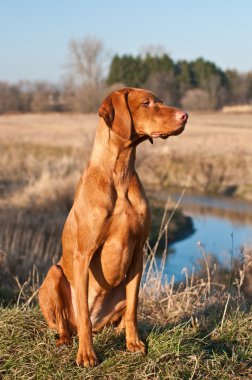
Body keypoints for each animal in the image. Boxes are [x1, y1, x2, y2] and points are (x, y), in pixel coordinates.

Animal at [38, 87, 188, 366]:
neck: (120, 172)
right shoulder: (83, 255)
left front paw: (133, 343)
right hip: (54, 275)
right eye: (146, 103)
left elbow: (133, 308)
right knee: (67, 322)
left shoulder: (139, 251)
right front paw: (87, 354)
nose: (185, 116)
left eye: (161, 101)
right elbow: (83, 315)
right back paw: (65, 339)